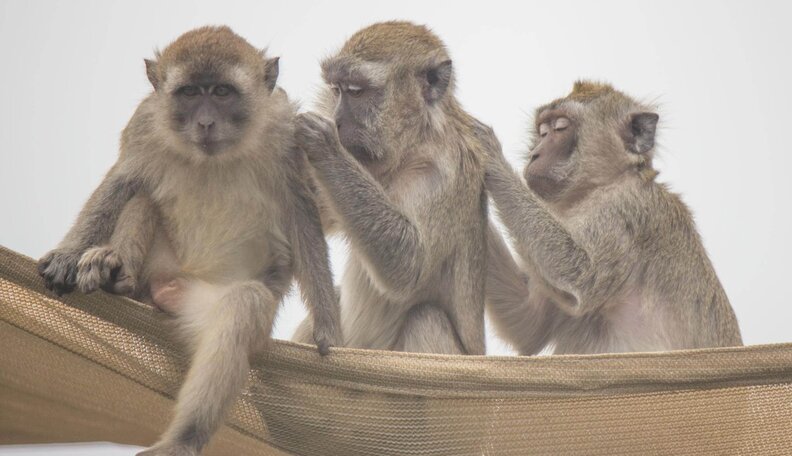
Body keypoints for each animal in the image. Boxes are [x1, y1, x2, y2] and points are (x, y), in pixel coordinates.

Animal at [37, 26, 341, 456]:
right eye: (190, 92)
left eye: (222, 92)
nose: (206, 122)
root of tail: (168, 285)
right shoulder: (145, 124)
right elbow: (121, 181)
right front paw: (69, 253)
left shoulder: (284, 133)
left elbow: (300, 213)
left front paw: (328, 327)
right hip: (158, 266)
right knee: (144, 198)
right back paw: (117, 273)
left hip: (198, 301)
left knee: (242, 307)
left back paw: (184, 438)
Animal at [291, 21, 489, 355]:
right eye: (336, 90)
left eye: (356, 92)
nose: (337, 121)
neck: (415, 143)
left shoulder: (440, 174)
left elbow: (407, 262)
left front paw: (323, 144)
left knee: (426, 318)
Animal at [482, 81, 742, 355]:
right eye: (542, 131)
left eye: (560, 128)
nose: (535, 154)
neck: (602, 185)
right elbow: (527, 323)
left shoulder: (625, 211)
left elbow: (580, 276)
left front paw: (487, 152)